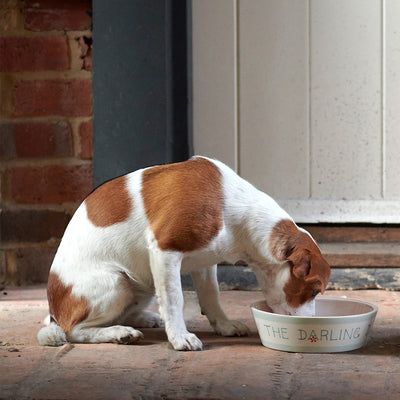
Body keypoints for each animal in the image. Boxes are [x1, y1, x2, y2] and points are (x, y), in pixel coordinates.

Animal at [37, 156, 332, 350]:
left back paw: (143, 318)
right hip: (116, 283)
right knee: (74, 331)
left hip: (140, 285)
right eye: (314, 291)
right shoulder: (164, 250)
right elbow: (174, 300)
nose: (312, 326)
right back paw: (120, 333)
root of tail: (54, 311)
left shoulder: (206, 262)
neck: (234, 207)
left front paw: (224, 326)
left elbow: (212, 296)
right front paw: (180, 337)